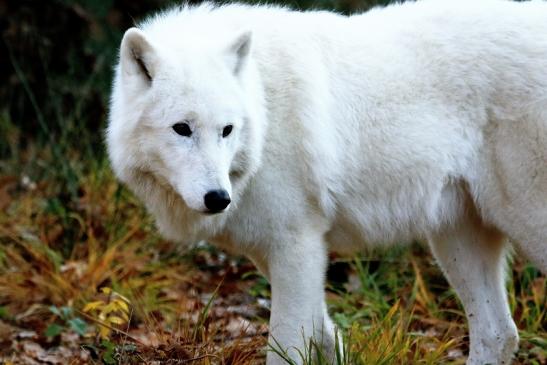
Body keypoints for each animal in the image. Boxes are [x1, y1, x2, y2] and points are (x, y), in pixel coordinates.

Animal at [106, 0, 547, 362]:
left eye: (226, 130)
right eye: (182, 129)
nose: (218, 198)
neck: (264, 106)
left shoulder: (296, 247)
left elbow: (287, 347)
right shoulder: (288, 255)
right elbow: (324, 337)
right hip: (456, 238)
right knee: (498, 334)